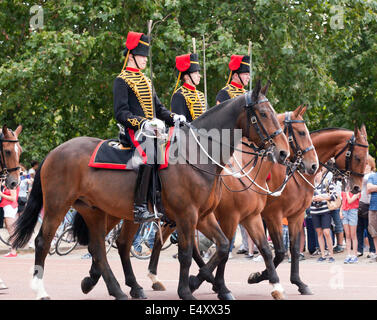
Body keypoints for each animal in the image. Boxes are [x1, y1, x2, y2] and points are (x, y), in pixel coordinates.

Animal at [11, 80, 288, 300]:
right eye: (264, 113)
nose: (284, 152)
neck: (197, 155)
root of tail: (54, 152)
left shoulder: (205, 215)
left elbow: (221, 247)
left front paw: (206, 283)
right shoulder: (188, 215)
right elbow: (187, 253)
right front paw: (188, 289)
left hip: (96, 211)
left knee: (102, 248)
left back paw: (118, 289)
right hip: (58, 205)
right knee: (43, 242)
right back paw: (42, 290)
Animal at [144, 105, 318, 300]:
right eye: (301, 132)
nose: (313, 165)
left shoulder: (268, 216)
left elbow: (278, 249)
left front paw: (288, 282)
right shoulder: (248, 216)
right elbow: (230, 252)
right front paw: (220, 285)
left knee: (180, 244)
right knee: (168, 240)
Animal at [247, 124, 368, 294]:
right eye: (357, 157)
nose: (357, 188)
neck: (295, 173)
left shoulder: (296, 216)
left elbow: (294, 248)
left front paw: (298, 282)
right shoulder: (273, 216)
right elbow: (279, 252)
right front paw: (260, 276)